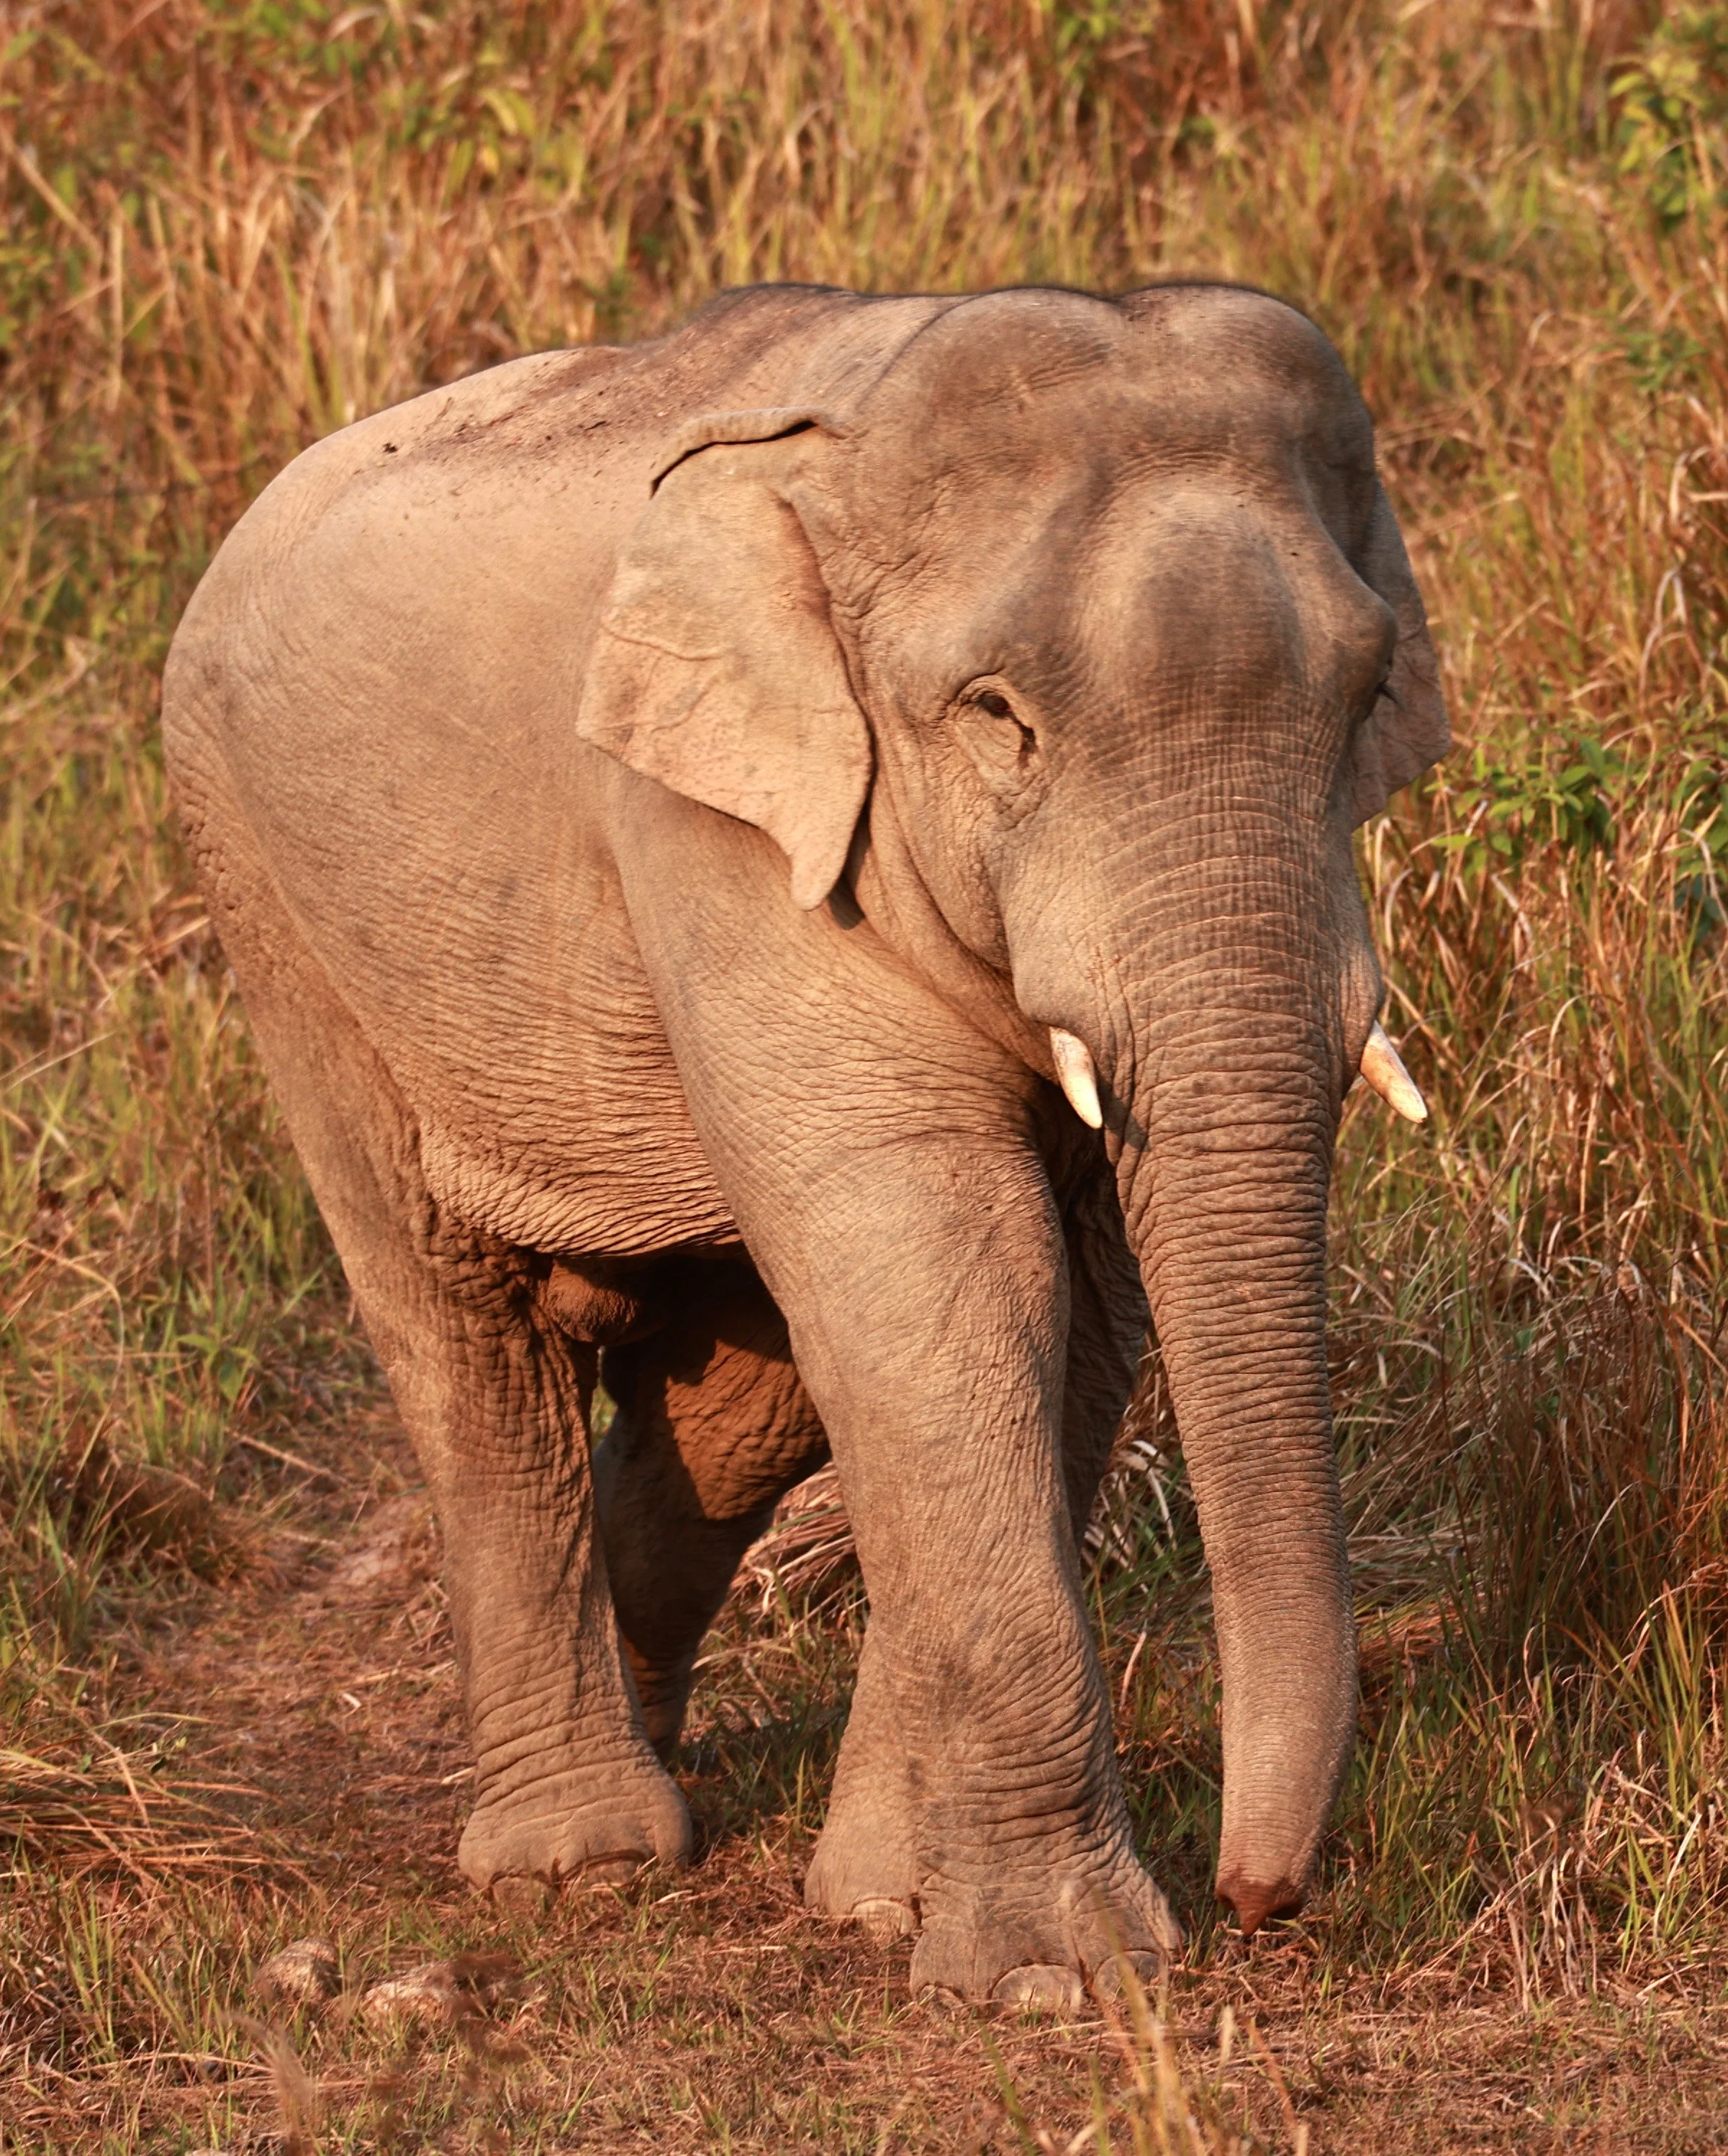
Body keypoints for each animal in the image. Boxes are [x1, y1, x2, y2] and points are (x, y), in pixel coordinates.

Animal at [162, 278, 1447, 2009]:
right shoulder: (721, 827)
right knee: (459, 1331)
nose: (1259, 1900)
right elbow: (947, 1269)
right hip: (273, 901)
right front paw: (1050, 1982)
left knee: (741, 1399)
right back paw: (581, 1859)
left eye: (1368, 701)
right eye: (996, 719)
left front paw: (884, 1906)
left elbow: (1063, 1307)